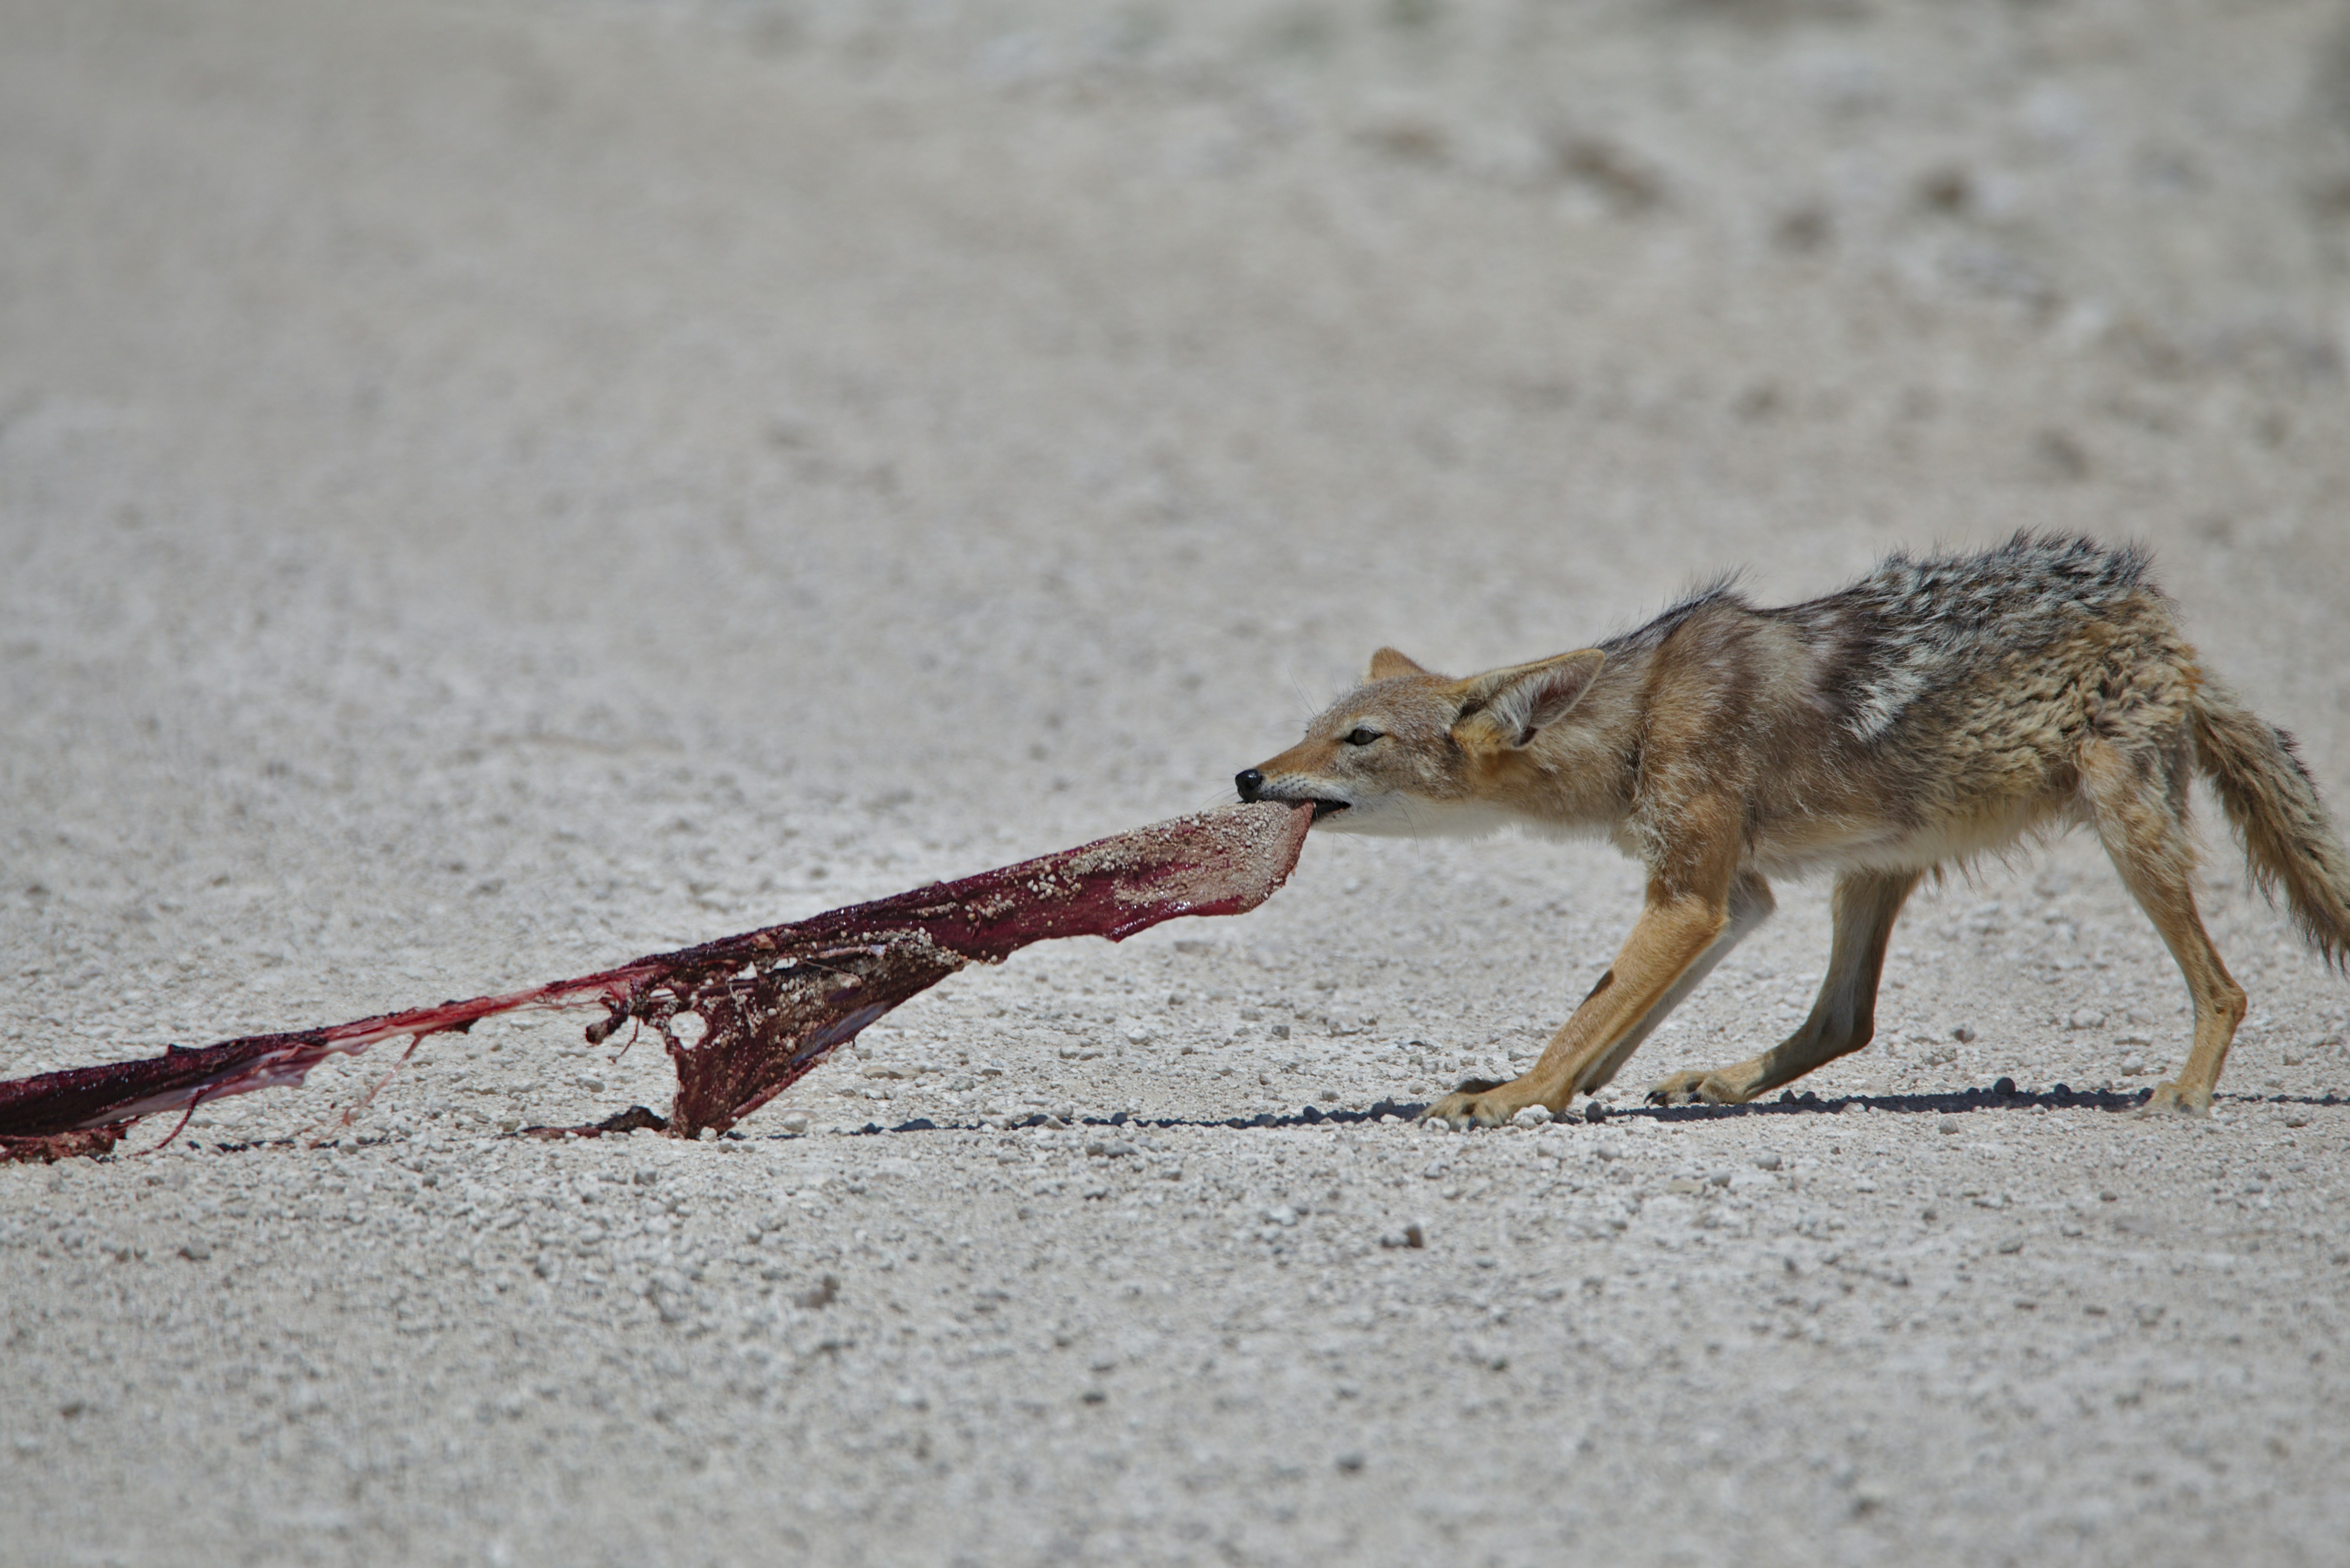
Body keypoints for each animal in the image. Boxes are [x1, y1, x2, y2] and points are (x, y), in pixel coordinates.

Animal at [1235, 534, 2350, 1125]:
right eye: (1314, 729)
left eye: (1359, 740)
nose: (1248, 776)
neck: (1633, 723)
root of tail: (2170, 630)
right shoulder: (1733, 897)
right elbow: (1612, 1024)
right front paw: (1555, 1089)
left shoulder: (1688, 899)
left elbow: (1585, 1020)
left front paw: (1518, 1095)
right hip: (1874, 870)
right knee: (1843, 1021)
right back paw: (1724, 1081)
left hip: (2125, 837)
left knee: (2225, 986)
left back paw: (2185, 1093)